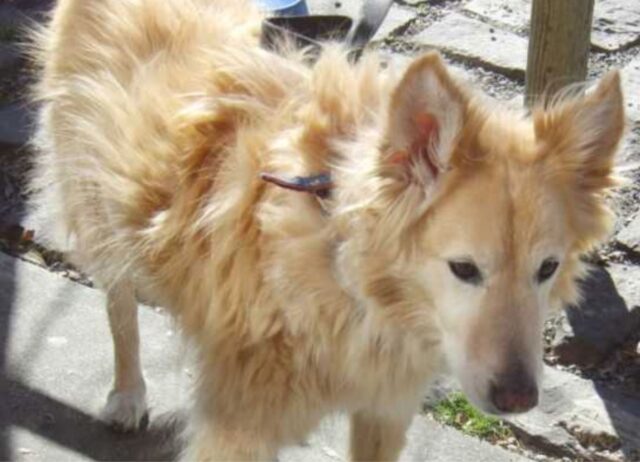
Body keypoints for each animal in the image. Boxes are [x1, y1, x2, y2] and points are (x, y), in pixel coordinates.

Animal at [30, 1, 624, 460]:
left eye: (547, 269)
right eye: (464, 269)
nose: (519, 400)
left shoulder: (385, 410)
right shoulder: (237, 426)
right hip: (97, 207)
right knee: (119, 303)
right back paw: (127, 392)